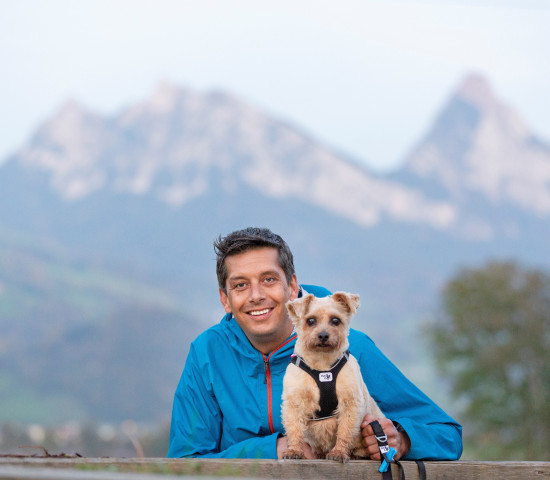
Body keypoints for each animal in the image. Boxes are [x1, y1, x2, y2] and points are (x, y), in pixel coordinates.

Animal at [282, 292, 386, 462]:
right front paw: (294, 450)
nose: (323, 335)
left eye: (335, 320)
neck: (322, 364)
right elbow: (294, 428)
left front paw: (338, 452)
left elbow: (345, 431)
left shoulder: (350, 403)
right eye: (310, 320)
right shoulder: (295, 402)